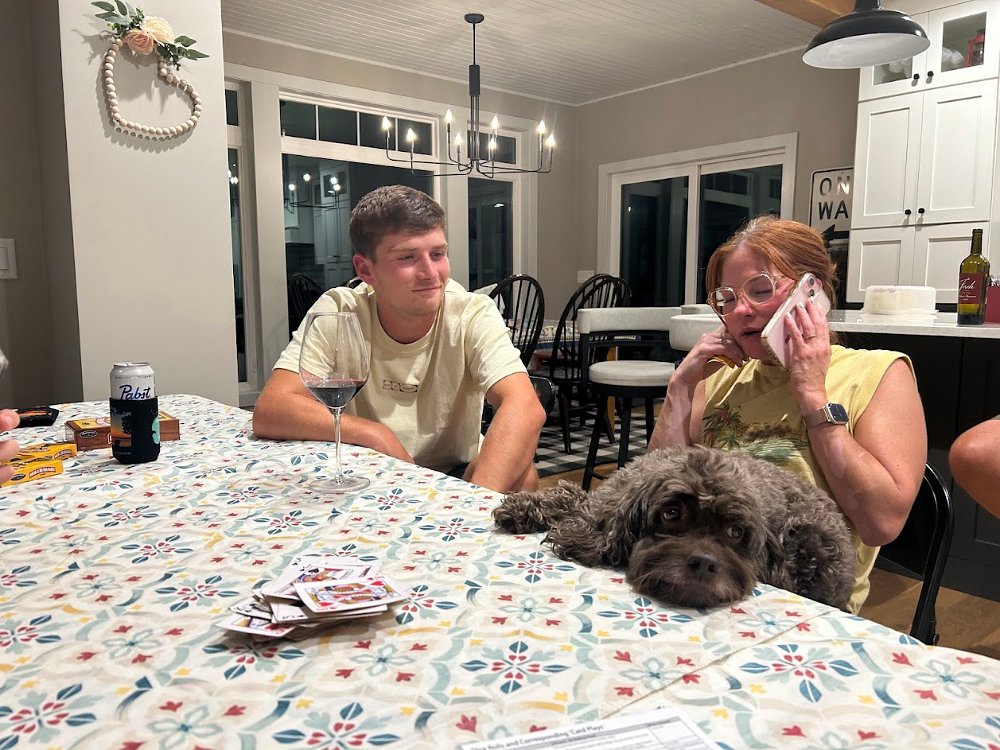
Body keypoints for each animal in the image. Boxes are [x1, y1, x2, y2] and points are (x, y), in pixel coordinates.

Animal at [493, 444, 854, 610]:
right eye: (671, 514)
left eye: (735, 532)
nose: (705, 564)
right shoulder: (606, 499)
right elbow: (571, 495)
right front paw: (523, 507)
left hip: (809, 543)